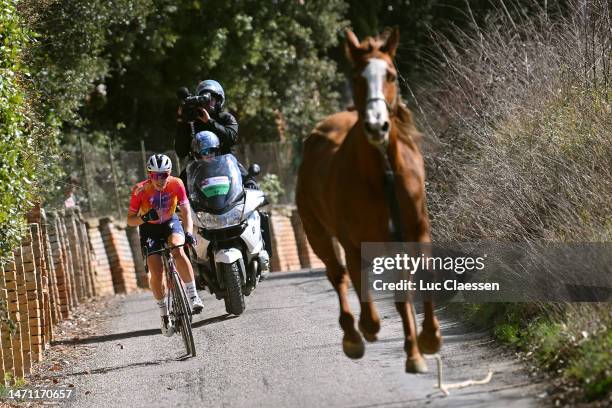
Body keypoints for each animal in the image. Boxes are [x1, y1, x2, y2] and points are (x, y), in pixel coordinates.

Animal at [296, 28, 440, 372]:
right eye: (356, 77)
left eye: (390, 75)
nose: (377, 125)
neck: (382, 172)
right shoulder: (355, 242)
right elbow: (362, 284)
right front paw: (371, 328)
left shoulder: (415, 231)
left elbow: (417, 282)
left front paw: (423, 344)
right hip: (317, 232)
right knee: (338, 275)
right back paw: (354, 335)